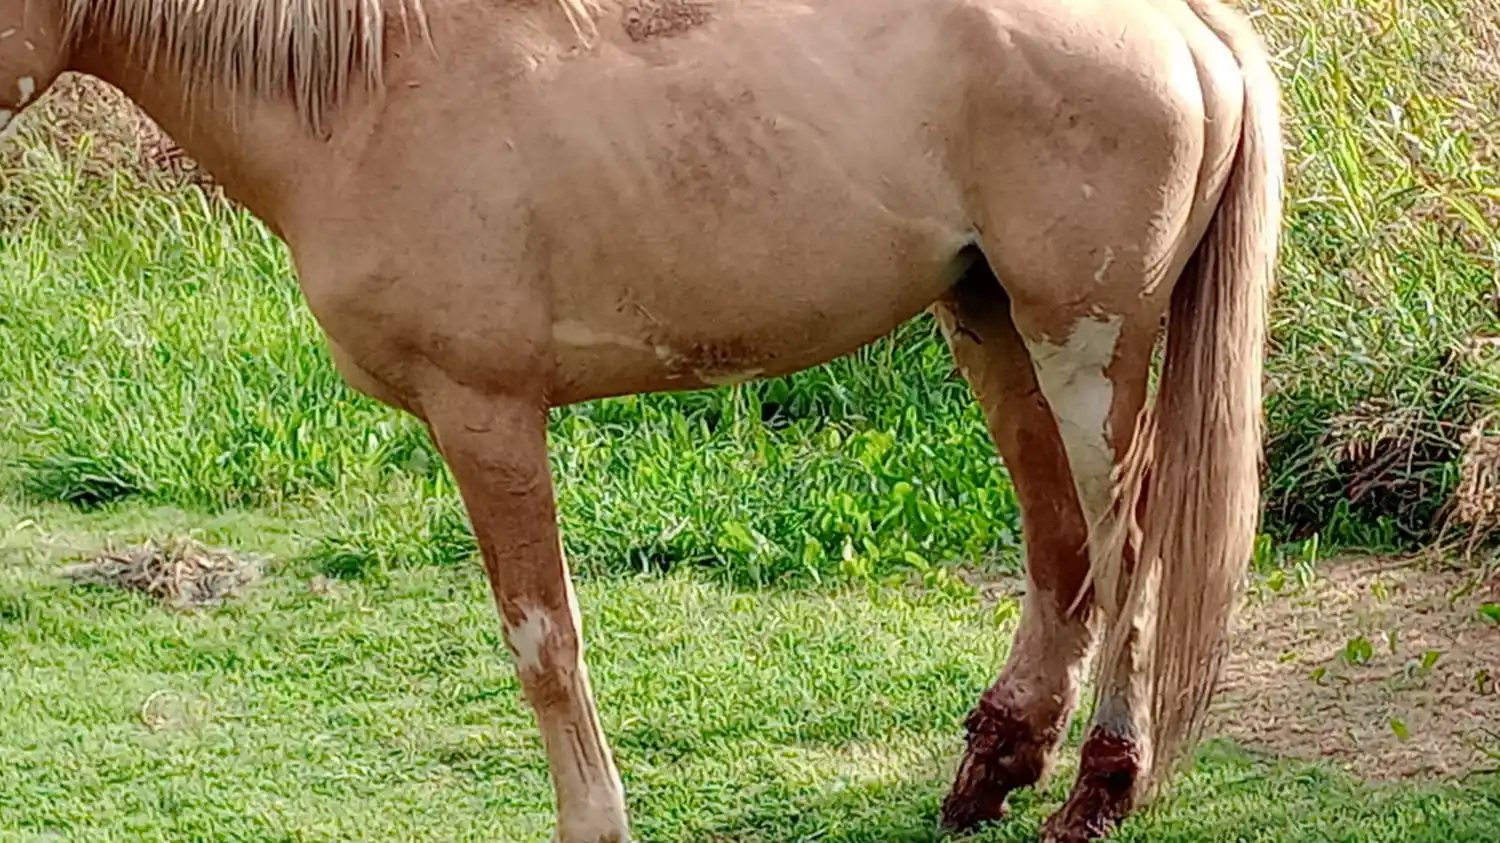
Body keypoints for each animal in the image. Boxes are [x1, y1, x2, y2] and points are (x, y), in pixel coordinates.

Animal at [0, 0, 1283, 839]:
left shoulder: (486, 418)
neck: (363, 97)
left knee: (1127, 546)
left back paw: (1101, 787)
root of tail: (1187, 29)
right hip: (991, 325)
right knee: (1063, 547)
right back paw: (994, 770)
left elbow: (544, 643)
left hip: (1085, 347)